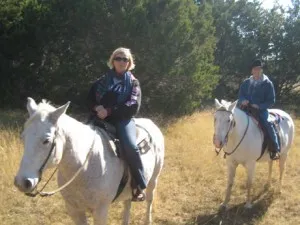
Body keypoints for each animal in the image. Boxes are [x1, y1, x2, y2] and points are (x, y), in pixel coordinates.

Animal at [14, 98, 164, 225]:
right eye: (23, 137)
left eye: (46, 140)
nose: (22, 182)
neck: (84, 167)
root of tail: (151, 123)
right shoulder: (74, 210)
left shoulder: (100, 211)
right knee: (127, 204)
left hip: (153, 180)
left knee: (149, 200)